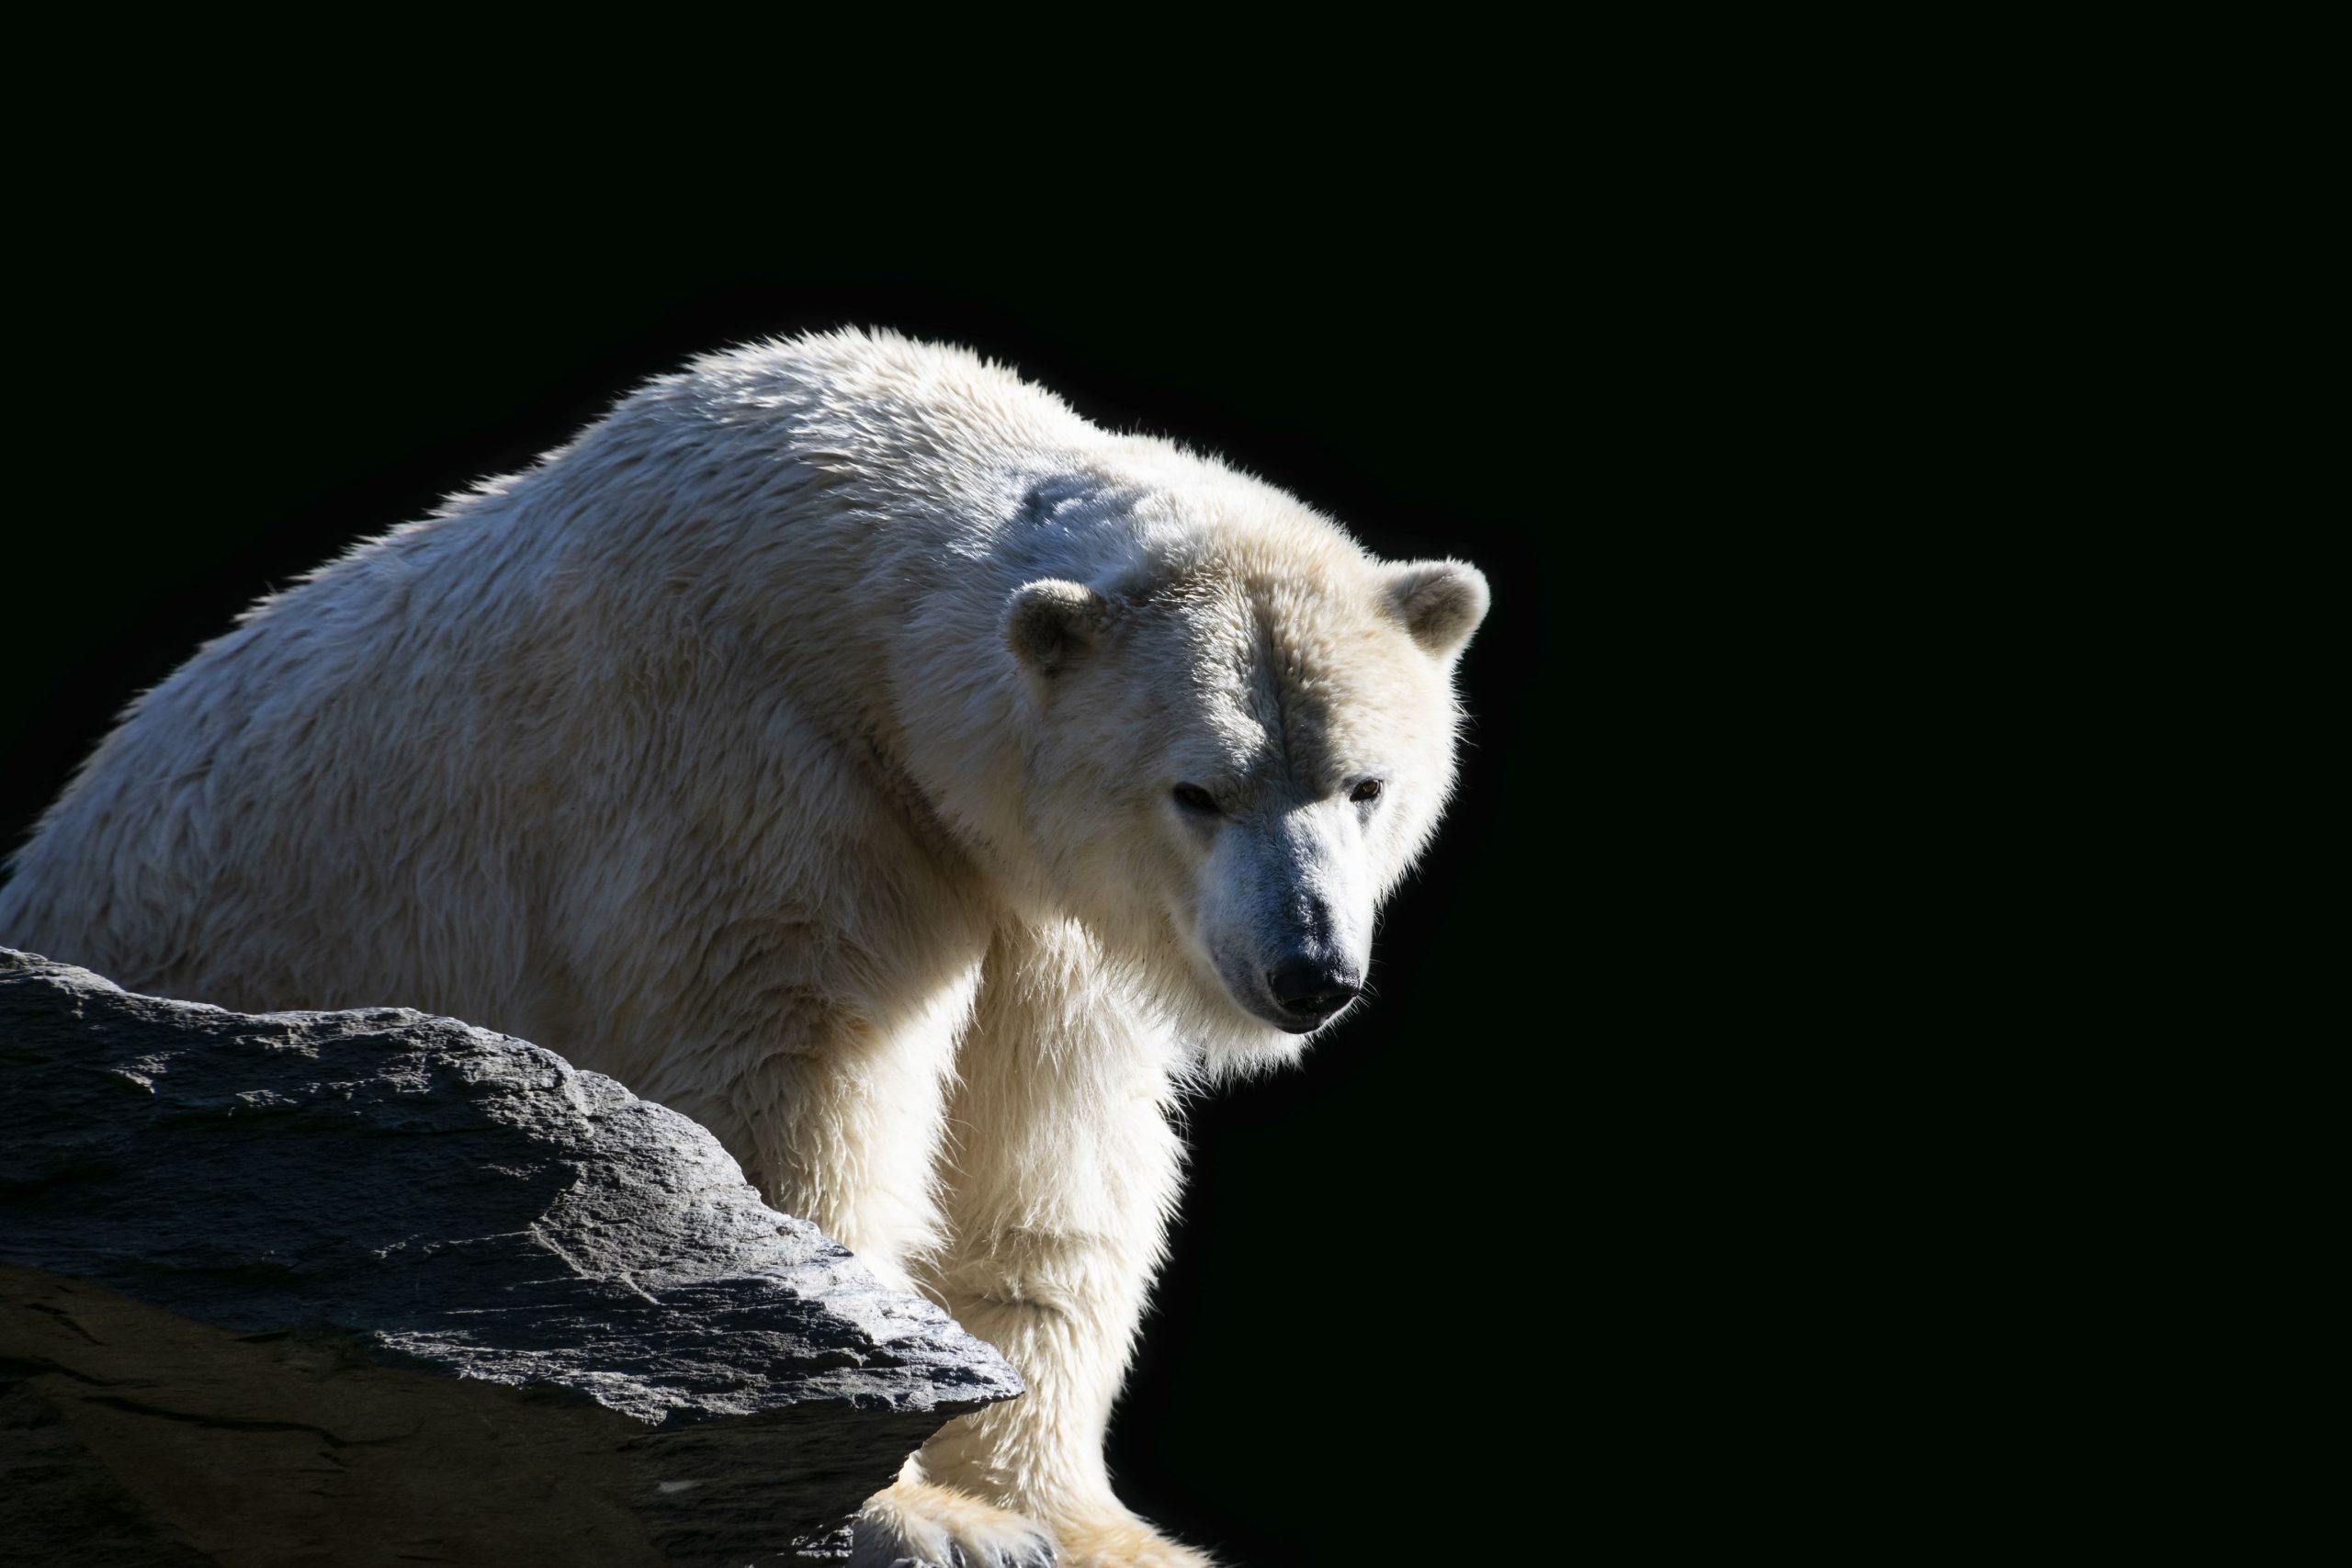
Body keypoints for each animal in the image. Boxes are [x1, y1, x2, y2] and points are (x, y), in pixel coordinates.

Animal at [0, 329, 1488, 1567]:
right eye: (1199, 788)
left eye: (1363, 783)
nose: (1309, 969)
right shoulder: (741, 769)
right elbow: (786, 1100)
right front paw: (909, 1506)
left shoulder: (1032, 899)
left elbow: (1042, 1160)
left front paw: (1087, 1524)